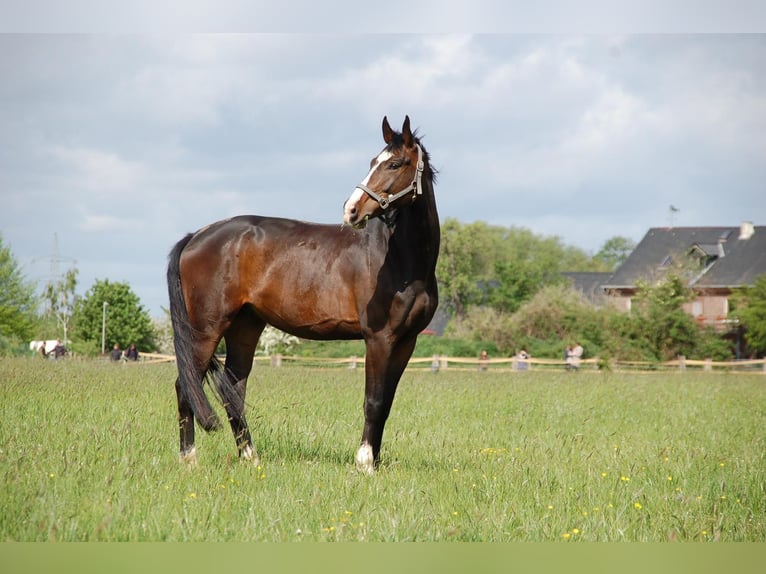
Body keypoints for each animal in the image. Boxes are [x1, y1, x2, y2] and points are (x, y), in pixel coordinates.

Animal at [168, 115, 444, 474]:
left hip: (245, 326)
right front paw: (364, 463)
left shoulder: (406, 341)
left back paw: (250, 457)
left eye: (395, 163)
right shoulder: (379, 339)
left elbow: (386, 403)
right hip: (206, 328)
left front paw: (376, 460)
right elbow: (373, 401)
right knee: (185, 385)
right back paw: (189, 459)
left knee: (234, 390)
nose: (351, 210)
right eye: (374, 162)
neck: (400, 259)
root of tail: (196, 236)